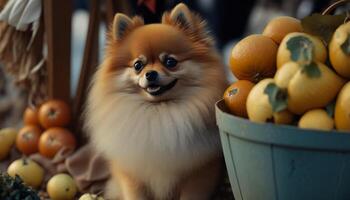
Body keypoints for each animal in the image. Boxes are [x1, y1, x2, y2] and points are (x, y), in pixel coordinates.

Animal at [85, 3, 227, 200]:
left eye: (170, 62)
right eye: (138, 65)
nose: (150, 73)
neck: (158, 112)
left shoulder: (199, 174)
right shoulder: (132, 175)